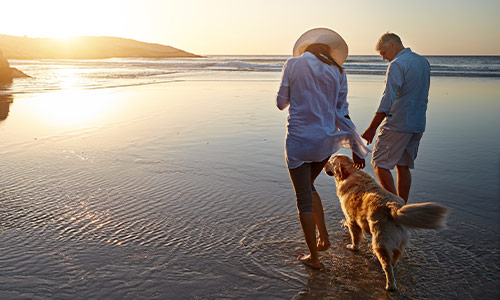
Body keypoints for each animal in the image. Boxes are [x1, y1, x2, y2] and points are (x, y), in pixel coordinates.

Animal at [324, 155, 450, 290]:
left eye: (331, 161)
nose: (324, 163)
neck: (351, 173)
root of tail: (394, 207)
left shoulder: (352, 219)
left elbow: (355, 237)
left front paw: (353, 247)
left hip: (380, 241)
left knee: (387, 265)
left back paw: (390, 285)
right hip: (399, 241)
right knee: (394, 258)